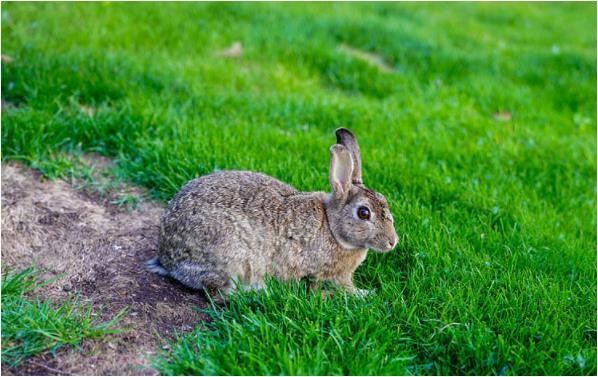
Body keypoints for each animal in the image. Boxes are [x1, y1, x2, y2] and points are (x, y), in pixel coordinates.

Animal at [147, 128, 398, 296]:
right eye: (364, 213)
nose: (392, 242)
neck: (331, 226)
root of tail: (167, 257)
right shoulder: (326, 272)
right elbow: (340, 287)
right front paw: (365, 295)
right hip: (229, 254)